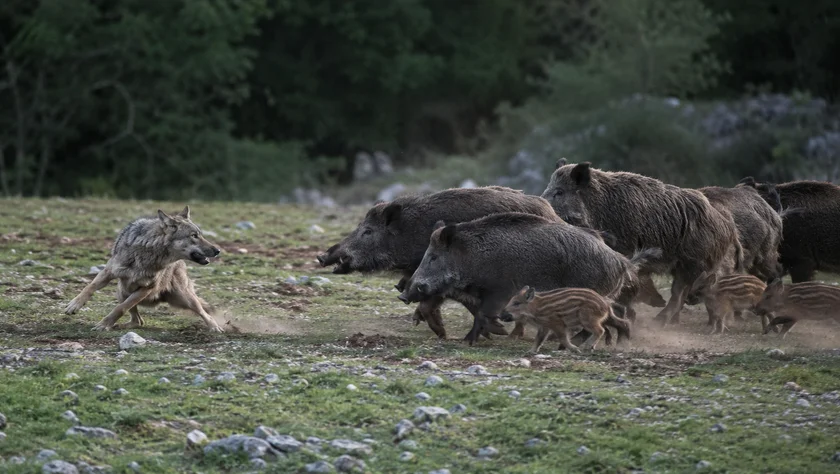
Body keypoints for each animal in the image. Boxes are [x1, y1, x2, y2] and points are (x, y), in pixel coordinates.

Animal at [64, 206, 224, 332]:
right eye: (194, 236)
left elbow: (120, 308)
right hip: (122, 291)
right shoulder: (108, 272)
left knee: (204, 312)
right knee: (138, 321)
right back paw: (119, 326)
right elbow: (90, 287)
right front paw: (74, 305)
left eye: (200, 235)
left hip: (186, 299)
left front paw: (103, 325)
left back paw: (215, 327)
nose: (218, 250)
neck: (148, 253)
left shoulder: (147, 288)